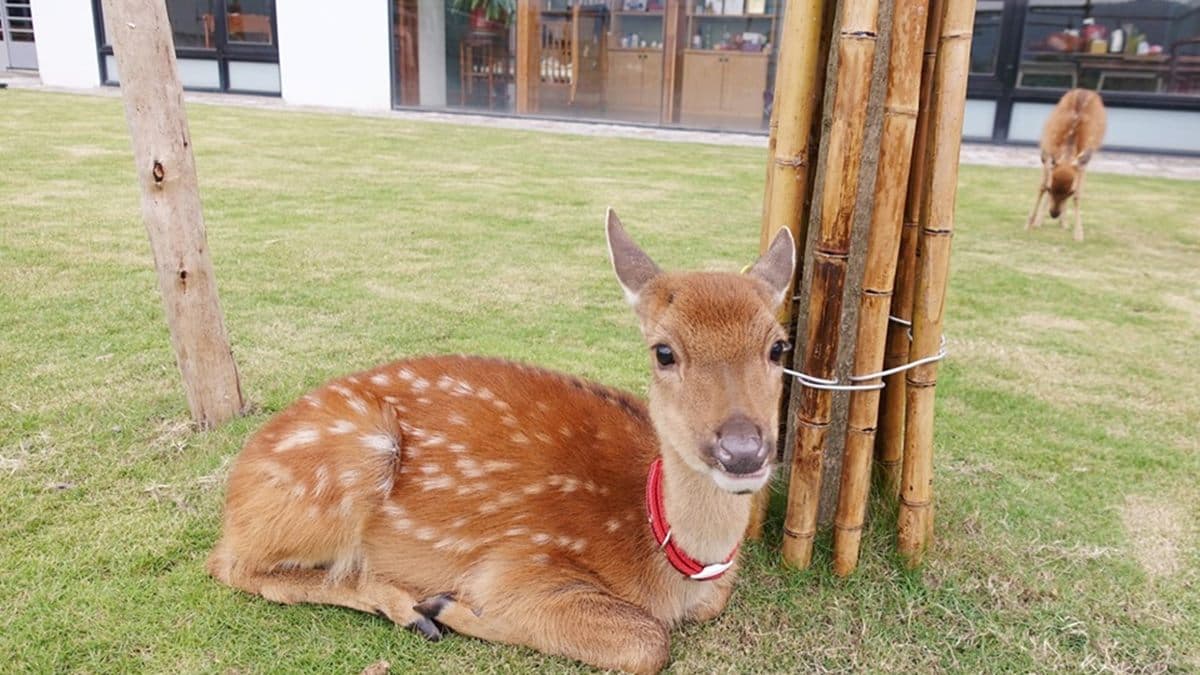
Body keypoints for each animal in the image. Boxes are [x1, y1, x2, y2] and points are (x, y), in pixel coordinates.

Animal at [206, 209, 797, 674]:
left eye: (778, 347)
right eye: (664, 351)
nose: (742, 451)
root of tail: (236, 492)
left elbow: (704, 608)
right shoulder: (519, 562)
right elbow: (646, 641)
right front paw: (449, 607)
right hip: (348, 463)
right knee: (231, 567)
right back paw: (411, 609)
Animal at [1026, 88, 1107, 242]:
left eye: (1070, 192)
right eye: (1050, 189)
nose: (1054, 214)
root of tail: (1085, 90)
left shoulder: (1082, 164)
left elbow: (1078, 195)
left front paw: (1079, 234)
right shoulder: (1047, 151)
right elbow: (1041, 186)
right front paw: (1029, 224)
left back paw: (1063, 223)